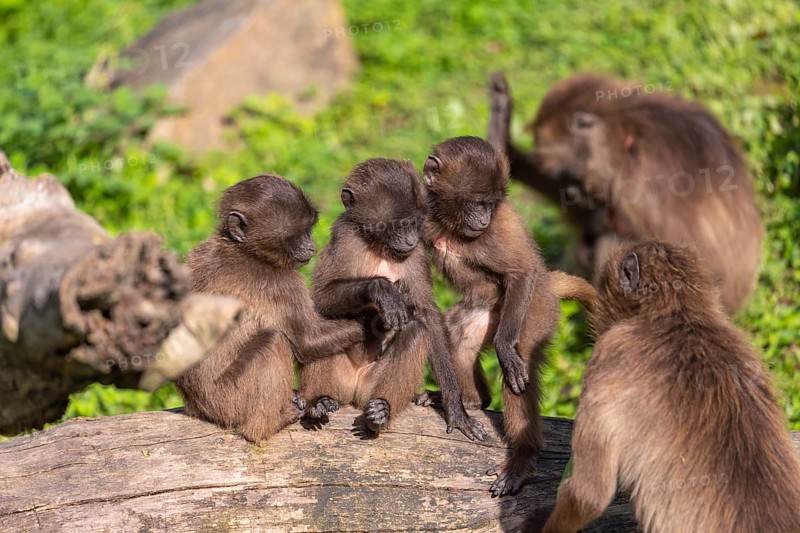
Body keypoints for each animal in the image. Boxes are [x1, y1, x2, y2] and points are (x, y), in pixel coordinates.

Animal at [175, 175, 364, 444]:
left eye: (309, 229)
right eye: (300, 231)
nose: (312, 246)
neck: (244, 249)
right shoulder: (283, 283)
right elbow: (309, 342)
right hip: (229, 399)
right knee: (273, 341)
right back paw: (273, 422)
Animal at [299, 158, 486, 440]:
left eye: (415, 223)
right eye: (399, 224)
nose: (409, 240)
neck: (379, 246)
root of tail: (354, 387)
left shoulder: (417, 252)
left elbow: (426, 314)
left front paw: (455, 407)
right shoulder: (345, 236)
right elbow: (320, 298)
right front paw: (382, 291)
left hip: (371, 385)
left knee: (417, 331)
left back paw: (381, 411)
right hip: (340, 382)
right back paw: (319, 401)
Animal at [421, 135, 576, 497]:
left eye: (491, 204)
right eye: (476, 202)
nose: (482, 219)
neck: (450, 226)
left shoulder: (501, 227)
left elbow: (521, 271)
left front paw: (505, 350)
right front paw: (456, 410)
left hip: (533, 311)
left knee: (518, 366)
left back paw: (522, 456)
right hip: (488, 314)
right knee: (459, 338)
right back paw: (474, 400)